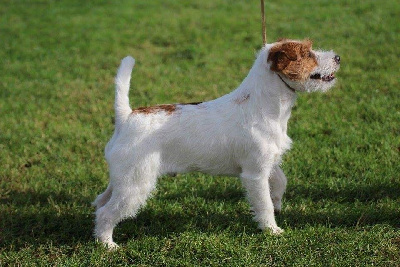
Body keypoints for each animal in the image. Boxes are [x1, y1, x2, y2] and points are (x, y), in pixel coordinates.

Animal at [93, 39, 340, 249]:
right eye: (307, 53)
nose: (338, 57)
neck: (263, 105)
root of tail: (126, 117)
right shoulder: (255, 173)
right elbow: (263, 203)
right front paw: (272, 230)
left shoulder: (268, 162)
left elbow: (280, 180)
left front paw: (278, 202)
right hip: (135, 185)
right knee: (106, 213)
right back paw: (108, 245)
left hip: (122, 180)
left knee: (99, 203)